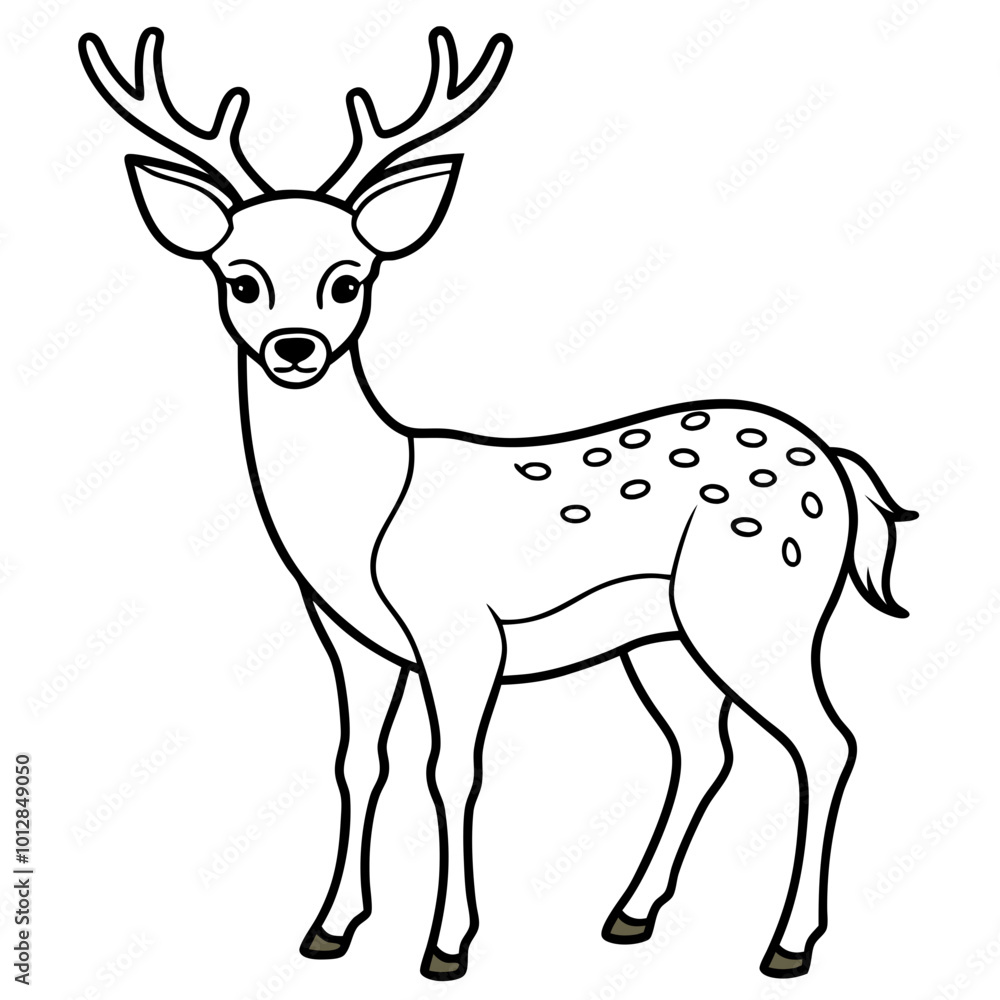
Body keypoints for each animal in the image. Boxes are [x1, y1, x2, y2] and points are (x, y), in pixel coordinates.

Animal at [80, 25, 917, 982]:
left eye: (350, 278)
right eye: (239, 278)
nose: (297, 347)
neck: (363, 522)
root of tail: (840, 469)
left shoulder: (462, 632)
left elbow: (452, 772)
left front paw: (446, 947)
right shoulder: (352, 639)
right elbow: (357, 763)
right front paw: (330, 928)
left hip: (758, 605)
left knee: (826, 741)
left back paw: (787, 945)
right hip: (663, 637)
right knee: (707, 748)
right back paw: (630, 914)